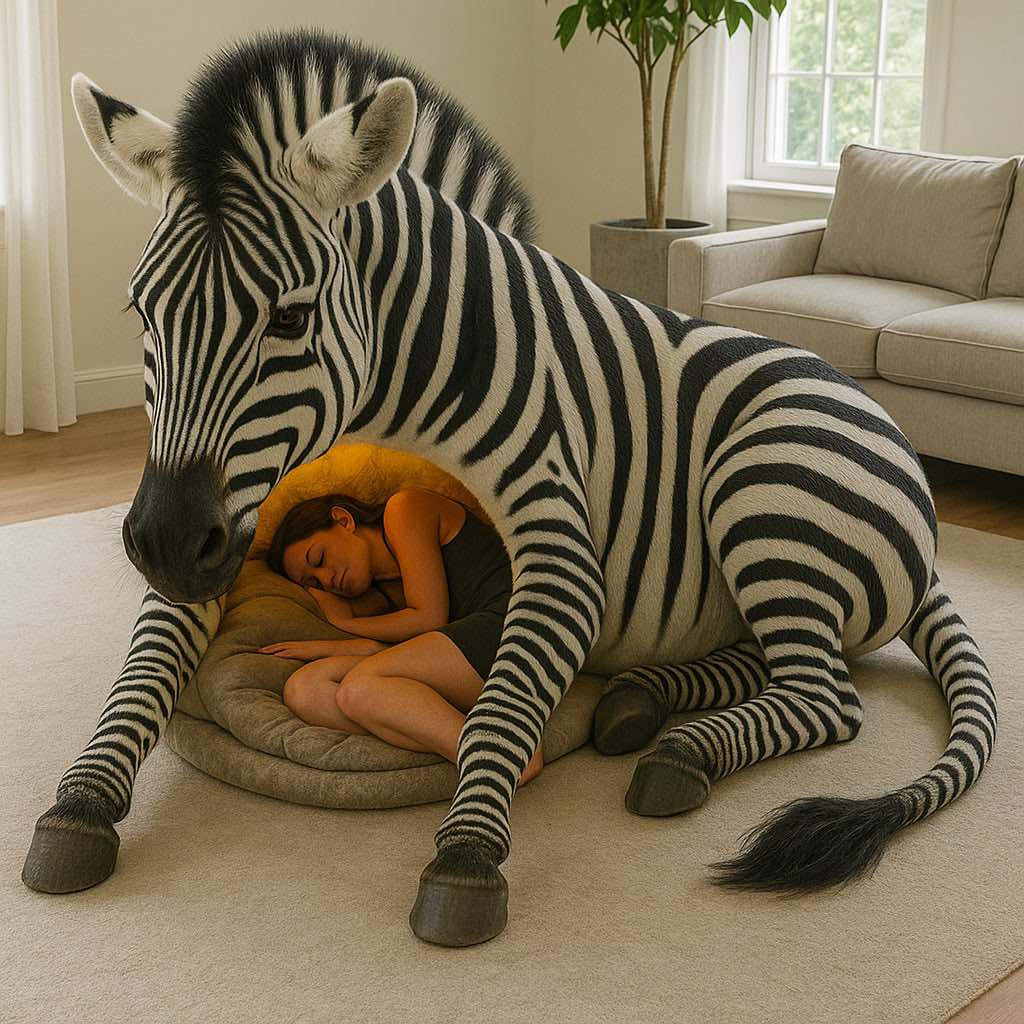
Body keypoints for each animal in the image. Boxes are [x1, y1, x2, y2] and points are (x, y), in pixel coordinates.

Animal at [23, 28, 997, 948]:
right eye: (140, 313)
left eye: (292, 318)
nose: (161, 543)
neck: (388, 386)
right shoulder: (229, 518)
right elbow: (142, 669)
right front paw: (80, 801)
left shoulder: (560, 549)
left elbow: (497, 712)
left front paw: (465, 859)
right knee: (774, 663)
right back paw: (643, 701)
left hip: (761, 497)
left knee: (825, 697)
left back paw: (681, 752)